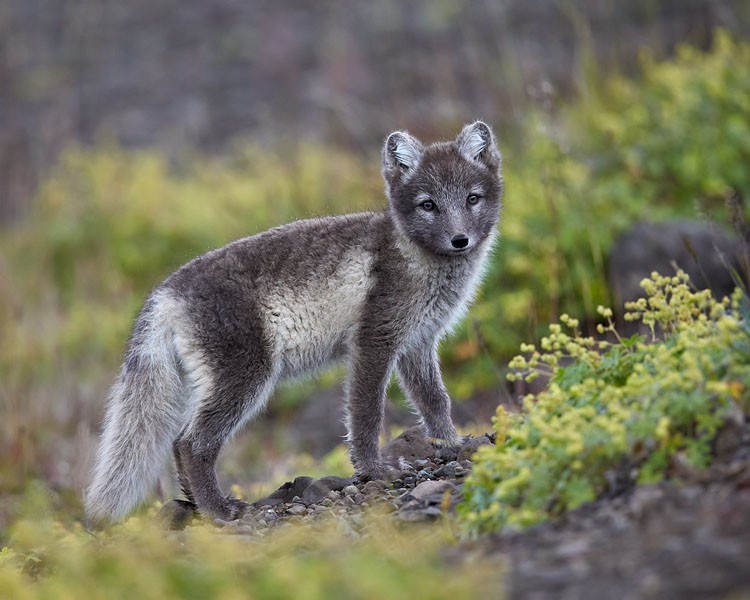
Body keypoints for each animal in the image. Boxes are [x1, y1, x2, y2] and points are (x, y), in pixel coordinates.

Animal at [86, 120, 506, 524]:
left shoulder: (418, 342)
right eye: (428, 205)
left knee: (178, 442)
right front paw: (373, 470)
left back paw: (198, 506)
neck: (413, 256)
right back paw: (219, 511)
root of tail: (166, 292)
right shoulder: (374, 339)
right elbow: (366, 413)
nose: (460, 240)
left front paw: (452, 445)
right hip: (246, 375)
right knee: (191, 443)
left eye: (472, 198)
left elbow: (434, 400)